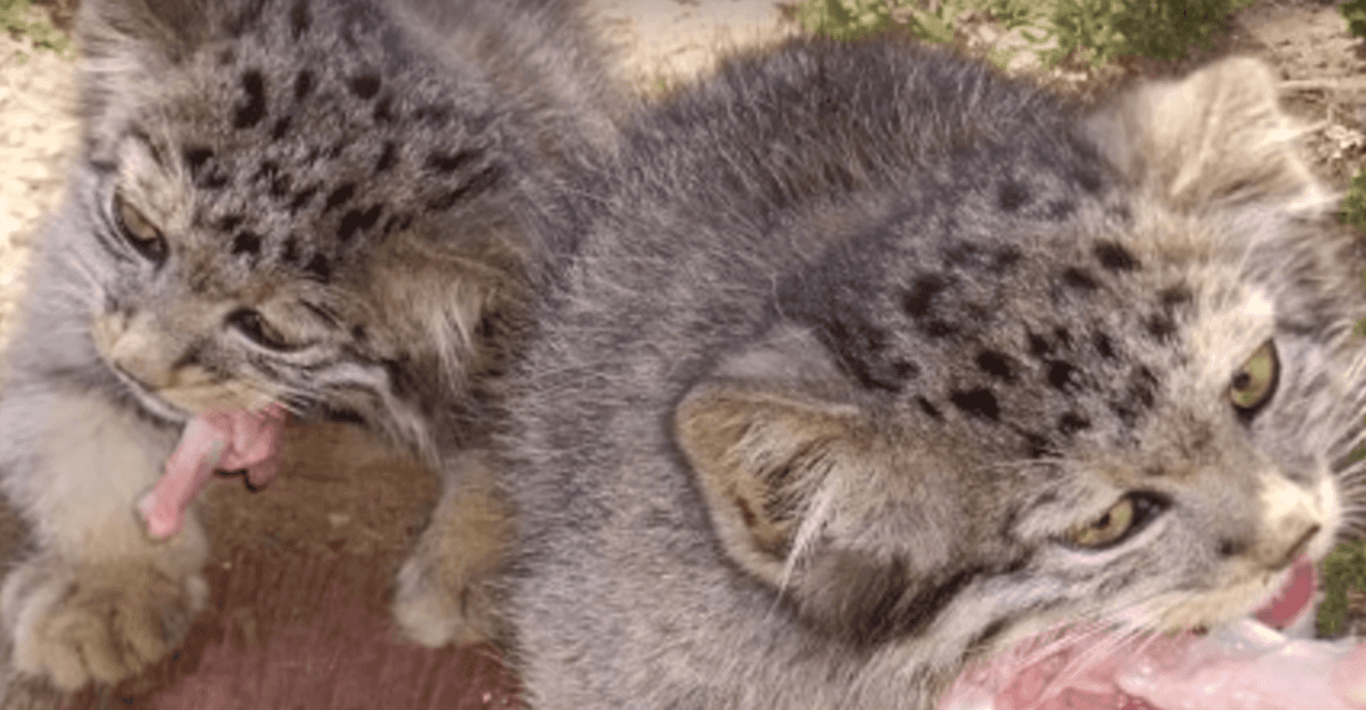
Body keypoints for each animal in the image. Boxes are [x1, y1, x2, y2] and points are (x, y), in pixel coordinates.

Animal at [0, 0, 625, 690]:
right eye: (139, 228)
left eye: (266, 329)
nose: (135, 367)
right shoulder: (72, 299)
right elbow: (83, 441)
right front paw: (105, 590)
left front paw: (471, 567)